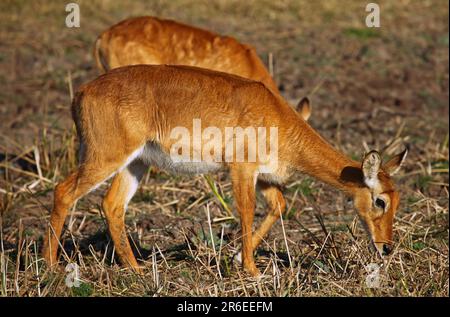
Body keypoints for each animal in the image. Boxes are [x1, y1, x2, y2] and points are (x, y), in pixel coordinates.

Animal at [42, 65, 408, 276]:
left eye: (397, 200)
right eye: (380, 201)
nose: (387, 247)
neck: (278, 119)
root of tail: (81, 93)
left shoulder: (264, 178)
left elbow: (279, 206)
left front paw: (235, 260)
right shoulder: (242, 170)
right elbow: (245, 211)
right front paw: (251, 269)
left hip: (135, 163)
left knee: (112, 205)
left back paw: (136, 270)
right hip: (105, 157)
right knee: (63, 192)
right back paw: (50, 265)